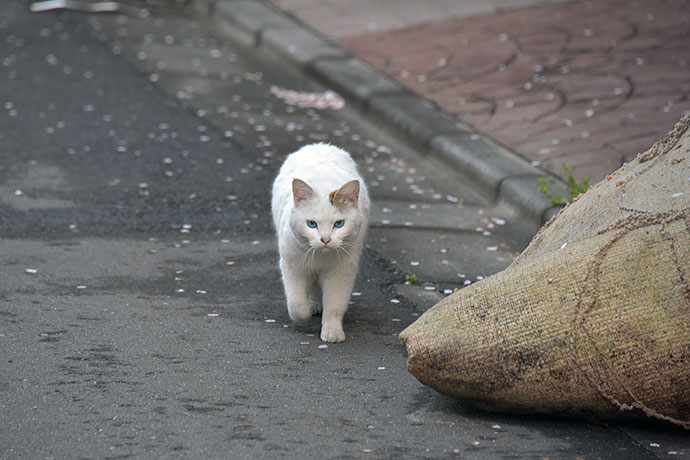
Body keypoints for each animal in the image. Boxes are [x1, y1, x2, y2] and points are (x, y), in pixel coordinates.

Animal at [272, 144, 370, 342]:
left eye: (339, 224)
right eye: (311, 224)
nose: (325, 239)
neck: (321, 257)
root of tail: (320, 145)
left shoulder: (341, 273)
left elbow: (334, 306)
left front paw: (332, 332)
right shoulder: (293, 267)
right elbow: (297, 305)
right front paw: (305, 313)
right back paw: (314, 305)